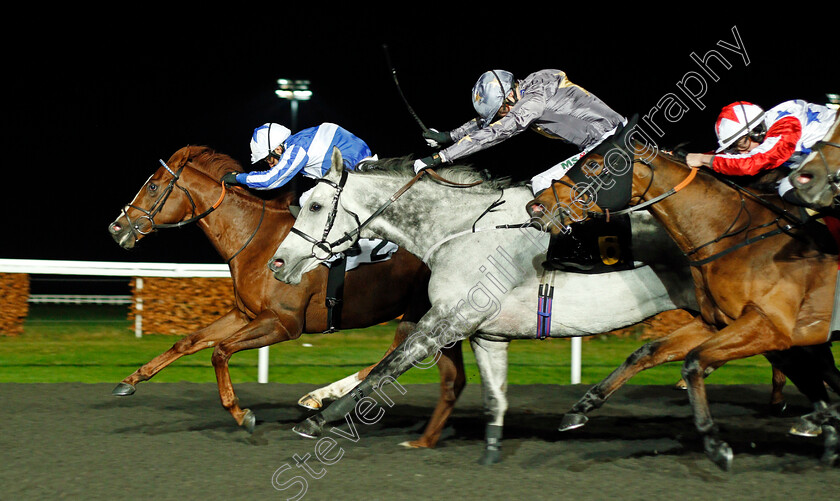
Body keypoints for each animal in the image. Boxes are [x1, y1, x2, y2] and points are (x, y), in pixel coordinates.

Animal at [107, 144, 462, 446]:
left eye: (153, 186)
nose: (116, 228)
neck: (256, 239)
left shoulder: (284, 323)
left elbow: (220, 351)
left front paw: (241, 414)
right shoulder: (245, 314)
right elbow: (189, 342)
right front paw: (129, 380)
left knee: (411, 363)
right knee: (439, 374)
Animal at [268, 149, 696, 464]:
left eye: (316, 206)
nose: (278, 263)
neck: (462, 231)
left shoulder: (448, 319)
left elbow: (386, 369)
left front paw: (319, 418)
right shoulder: (487, 334)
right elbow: (495, 396)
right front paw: (491, 452)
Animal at [524, 138, 840, 468]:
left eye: (594, 164)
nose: (537, 205)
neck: (733, 234)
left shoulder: (769, 325)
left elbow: (694, 361)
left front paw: (714, 441)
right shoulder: (718, 322)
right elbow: (646, 353)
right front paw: (580, 409)